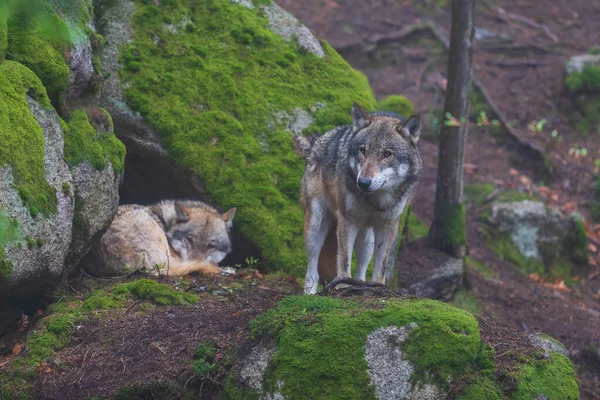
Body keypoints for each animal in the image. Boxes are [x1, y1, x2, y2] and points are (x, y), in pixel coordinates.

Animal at [298, 103, 422, 294]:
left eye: (387, 154)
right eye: (363, 151)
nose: (363, 182)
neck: (376, 201)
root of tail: (316, 144)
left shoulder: (388, 226)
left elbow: (381, 266)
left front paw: (378, 287)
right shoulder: (347, 220)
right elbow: (344, 260)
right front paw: (342, 286)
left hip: (367, 239)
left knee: (362, 268)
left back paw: (361, 286)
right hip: (315, 227)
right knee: (312, 271)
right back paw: (310, 294)